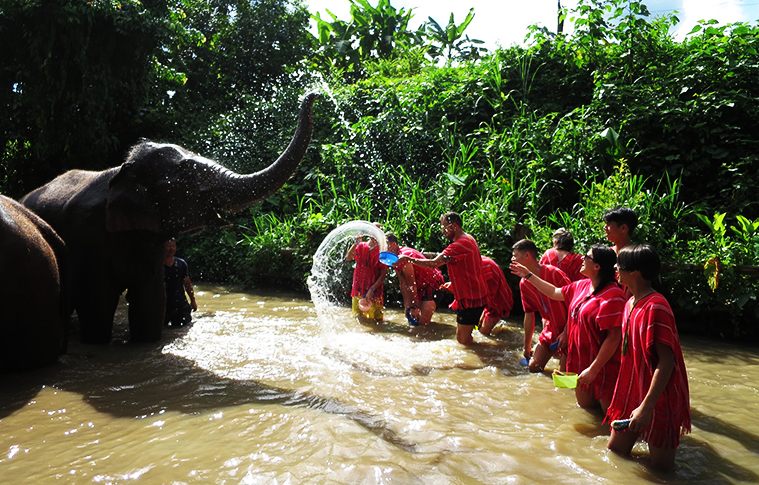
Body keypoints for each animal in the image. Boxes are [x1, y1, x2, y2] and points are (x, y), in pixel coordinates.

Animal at [20, 93, 318, 344]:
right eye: (187, 172)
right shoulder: (87, 237)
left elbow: (151, 299)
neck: (122, 171)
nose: (313, 94)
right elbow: (98, 301)